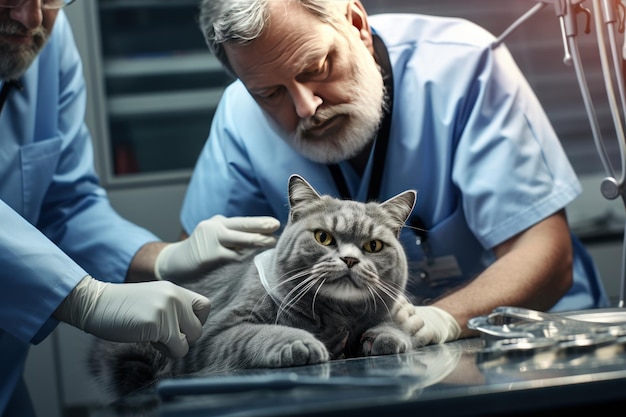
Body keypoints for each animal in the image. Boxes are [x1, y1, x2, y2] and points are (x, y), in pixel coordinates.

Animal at [89, 174, 414, 398]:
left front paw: (390, 337)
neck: (335, 315)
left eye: (373, 246)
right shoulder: (215, 333)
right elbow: (256, 333)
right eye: (323, 237)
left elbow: (388, 324)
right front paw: (298, 342)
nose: (349, 259)